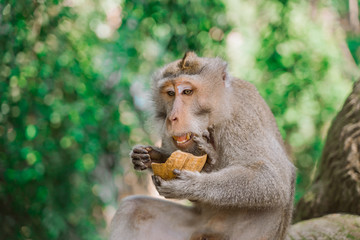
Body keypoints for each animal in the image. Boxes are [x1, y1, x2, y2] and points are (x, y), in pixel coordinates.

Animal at [109, 51, 296, 239]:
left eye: (187, 91)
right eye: (170, 93)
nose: (172, 117)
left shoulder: (242, 118)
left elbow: (271, 175)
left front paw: (191, 184)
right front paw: (147, 156)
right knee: (132, 209)